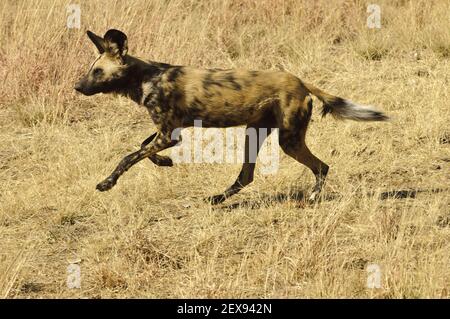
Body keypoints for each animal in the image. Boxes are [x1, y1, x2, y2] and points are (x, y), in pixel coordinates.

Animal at [75, 30, 388, 205]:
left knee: (322, 167)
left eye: (98, 72)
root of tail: (300, 82)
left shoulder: (168, 135)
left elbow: (128, 157)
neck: (147, 77)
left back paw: (312, 198)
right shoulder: (169, 132)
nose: (77, 87)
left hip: (289, 141)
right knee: (246, 176)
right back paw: (217, 199)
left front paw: (107, 183)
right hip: (255, 133)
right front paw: (165, 162)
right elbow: (142, 147)